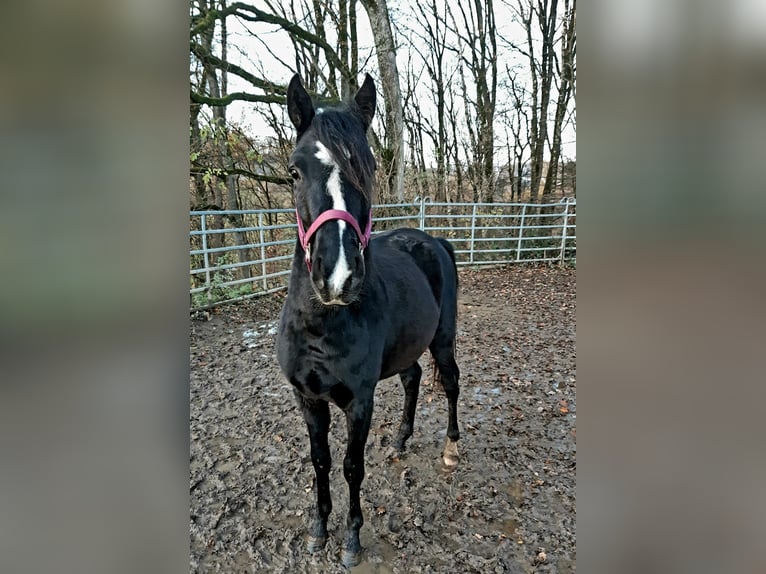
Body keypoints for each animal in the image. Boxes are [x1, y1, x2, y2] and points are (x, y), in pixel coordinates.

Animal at [276, 73, 461, 568]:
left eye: (370, 167)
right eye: (294, 170)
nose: (338, 276)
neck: (322, 327)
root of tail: (433, 241)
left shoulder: (359, 401)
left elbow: (351, 467)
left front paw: (352, 540)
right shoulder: (308, 399)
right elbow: (320, 461)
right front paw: (319, 529)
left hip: (443, 339)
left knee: (452, 383)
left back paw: (451, 448)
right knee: (414, 378)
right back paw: (400, 440)